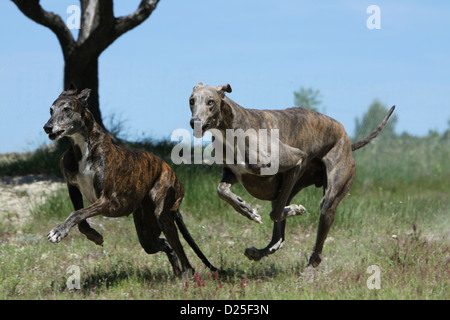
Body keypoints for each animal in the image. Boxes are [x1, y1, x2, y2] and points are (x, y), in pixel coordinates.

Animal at [43, 87, 218, 276]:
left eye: (67, 109)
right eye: (51, 110)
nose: (47, 127)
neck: (84, 148)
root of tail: (170, 171)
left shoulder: (105, 200)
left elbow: (77, 213)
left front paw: (58, 231)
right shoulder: (73, 187)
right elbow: (80, 219)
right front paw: (94, 235)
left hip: (163, 214)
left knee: (183, 255)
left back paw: (186, 275)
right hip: (147, 233)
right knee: (167, 246)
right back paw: (177, 274)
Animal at [189, 81, 394, 266]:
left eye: (211, 101)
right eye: (191, 100)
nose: (195, 123)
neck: (233, 129)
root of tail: (347, 141)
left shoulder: (297, 159)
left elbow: (276, 213)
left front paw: (294, 209)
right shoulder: (232, 173)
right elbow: (222, 190)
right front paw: (246, 209)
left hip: (330, 195)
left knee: (315, 243)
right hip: (289, 187)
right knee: (279, 238)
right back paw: (259, 252)